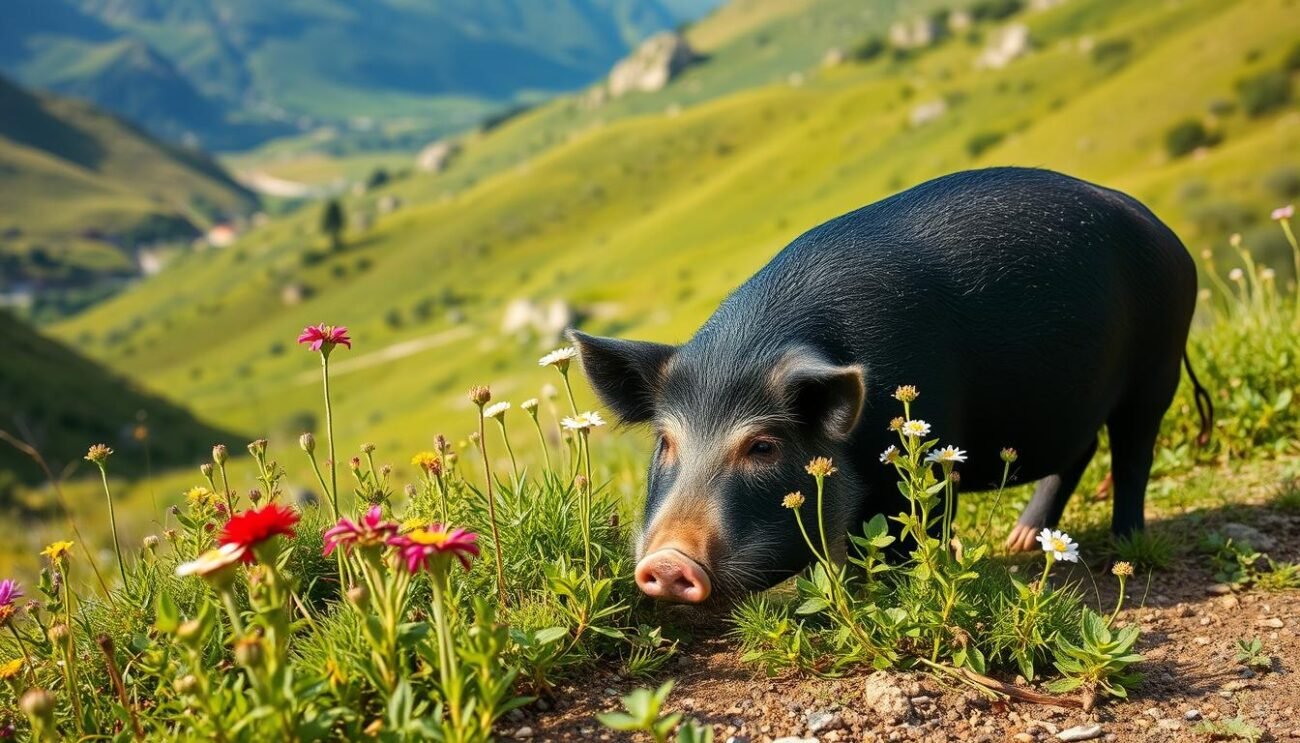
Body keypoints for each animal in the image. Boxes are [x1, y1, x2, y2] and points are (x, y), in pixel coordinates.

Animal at [569, 166, 1206, 602]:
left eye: (763, 446)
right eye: (665, 443)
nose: (667, 563)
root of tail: (1171, 238)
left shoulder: (926, 444)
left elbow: (905, 536)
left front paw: (882, 594)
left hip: (1157, 368)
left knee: (1132, 453)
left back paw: (1121, 548)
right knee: (1079, 451)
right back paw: (1021, 543)